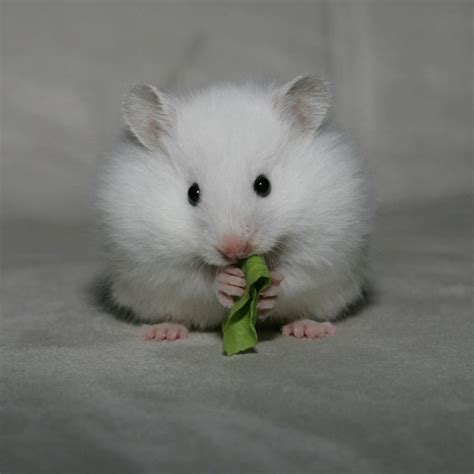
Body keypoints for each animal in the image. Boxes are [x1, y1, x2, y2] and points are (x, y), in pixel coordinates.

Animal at [96, 75, 372, 340]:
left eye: (263, 184)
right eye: (192, 193)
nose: (234, 250)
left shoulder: (323, 245)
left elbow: (295, 273)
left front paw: (270, 288)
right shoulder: (153, 259)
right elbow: (195, 278)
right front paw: (228, 282)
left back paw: (308, 330)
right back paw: (163, 333)